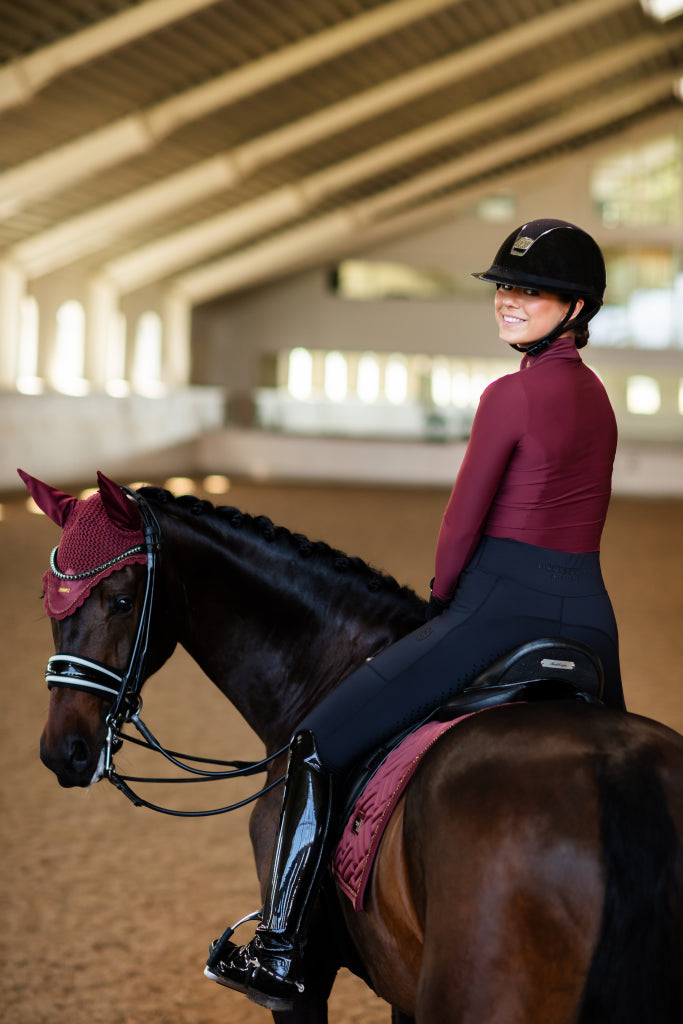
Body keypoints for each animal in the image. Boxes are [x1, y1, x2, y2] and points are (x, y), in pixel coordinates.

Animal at [25, 471, 683, 1024]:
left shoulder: (307, 988)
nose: (64, 751)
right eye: (47, 600)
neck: (333, 661)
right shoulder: (401, 986)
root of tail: (618, 772)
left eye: (121, 599)